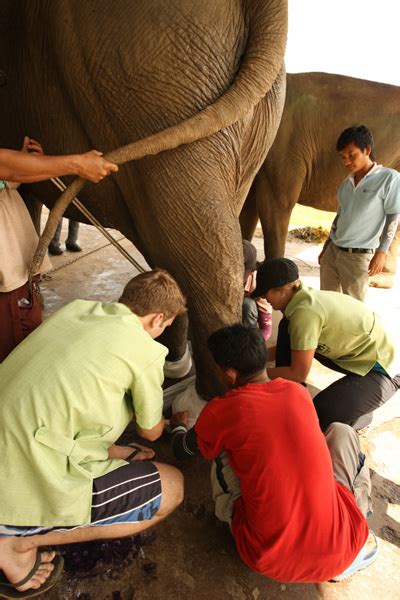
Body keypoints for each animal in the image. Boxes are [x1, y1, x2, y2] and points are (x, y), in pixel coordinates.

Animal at [0, 0, 288, 396]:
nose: (30, 285)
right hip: (253, 112)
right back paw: (179, 367)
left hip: (155, 73)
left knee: (199, 252)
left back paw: (209, 392)